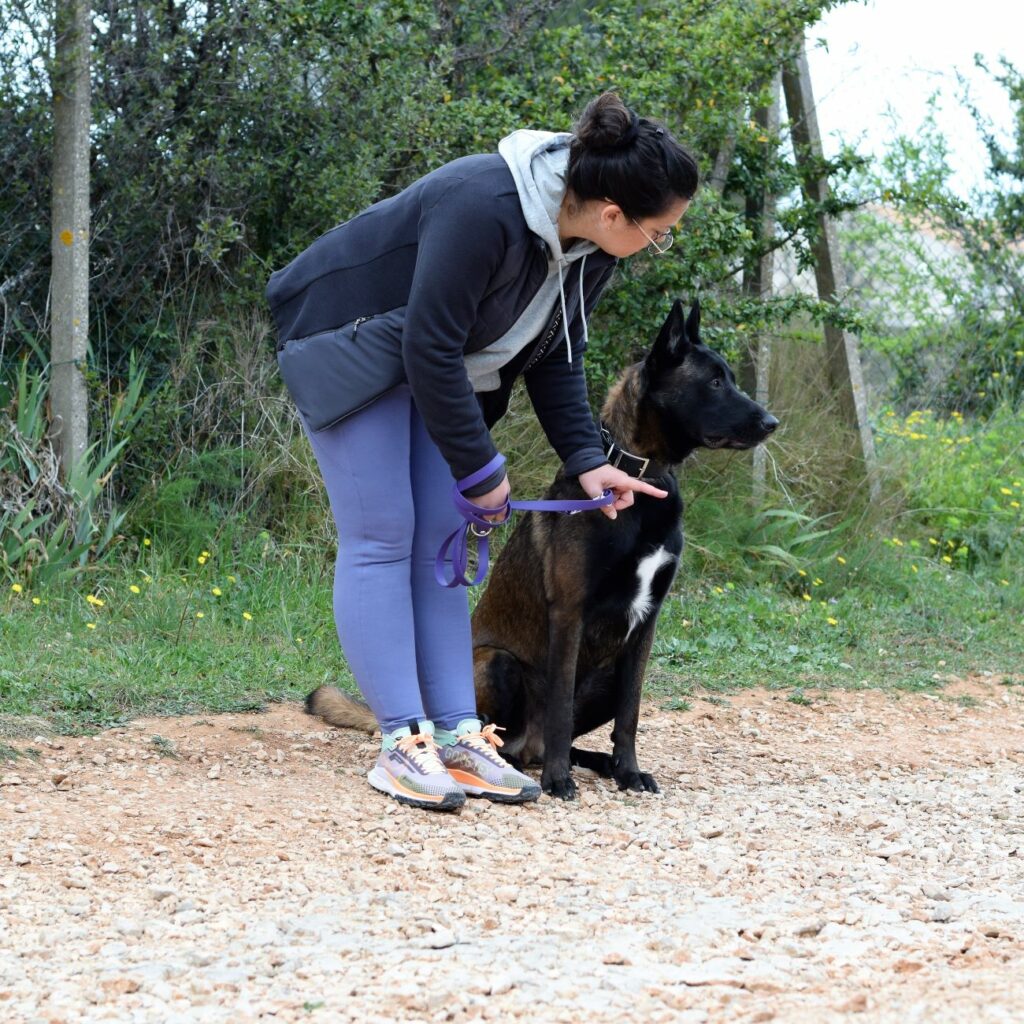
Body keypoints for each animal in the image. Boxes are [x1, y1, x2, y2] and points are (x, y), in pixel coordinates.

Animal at [471, 299, 774, 798]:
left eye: (729, 378)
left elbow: (630, 716)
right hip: (499, 662)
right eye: (714, 382)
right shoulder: (569, 613)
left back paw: (600, 764)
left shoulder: (646, 624)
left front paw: (629, 771)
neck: (641, 479)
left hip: (608, 672)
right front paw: (559, 780)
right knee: (501, 734)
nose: (772, 423)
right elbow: (559, 710)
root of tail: (525, 746)